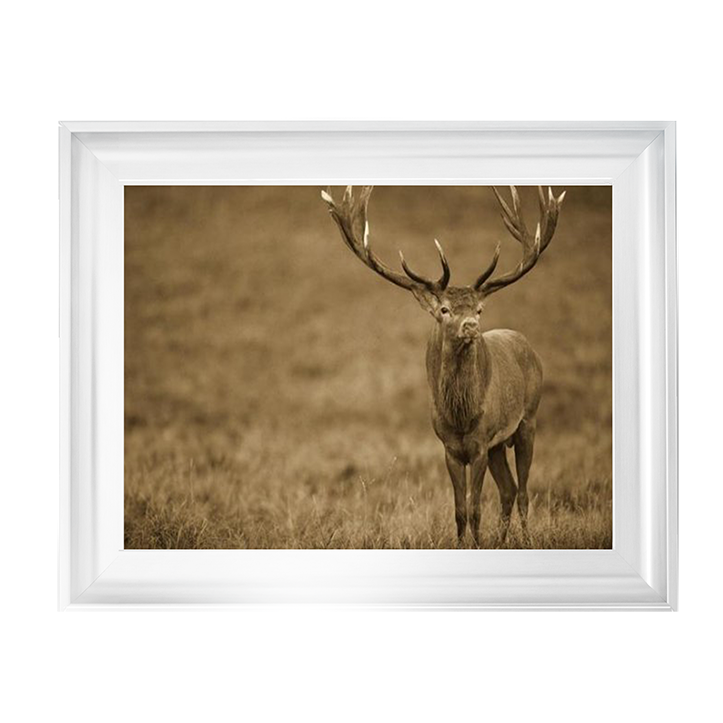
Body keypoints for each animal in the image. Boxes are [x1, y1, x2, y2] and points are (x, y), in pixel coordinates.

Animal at [321, 185, 565, 547]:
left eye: (478, 309)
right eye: (444, 310)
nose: (471, 326)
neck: (461, 417)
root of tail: (527, 345)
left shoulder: (479, 444)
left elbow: (475, 508)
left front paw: (477, 544)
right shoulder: (450, 447)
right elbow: (460, 510)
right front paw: (464, 544)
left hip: (528, 420)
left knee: (522, 491)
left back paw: (524, 539)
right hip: (498, 445)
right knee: (508, 490)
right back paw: (502, 540)